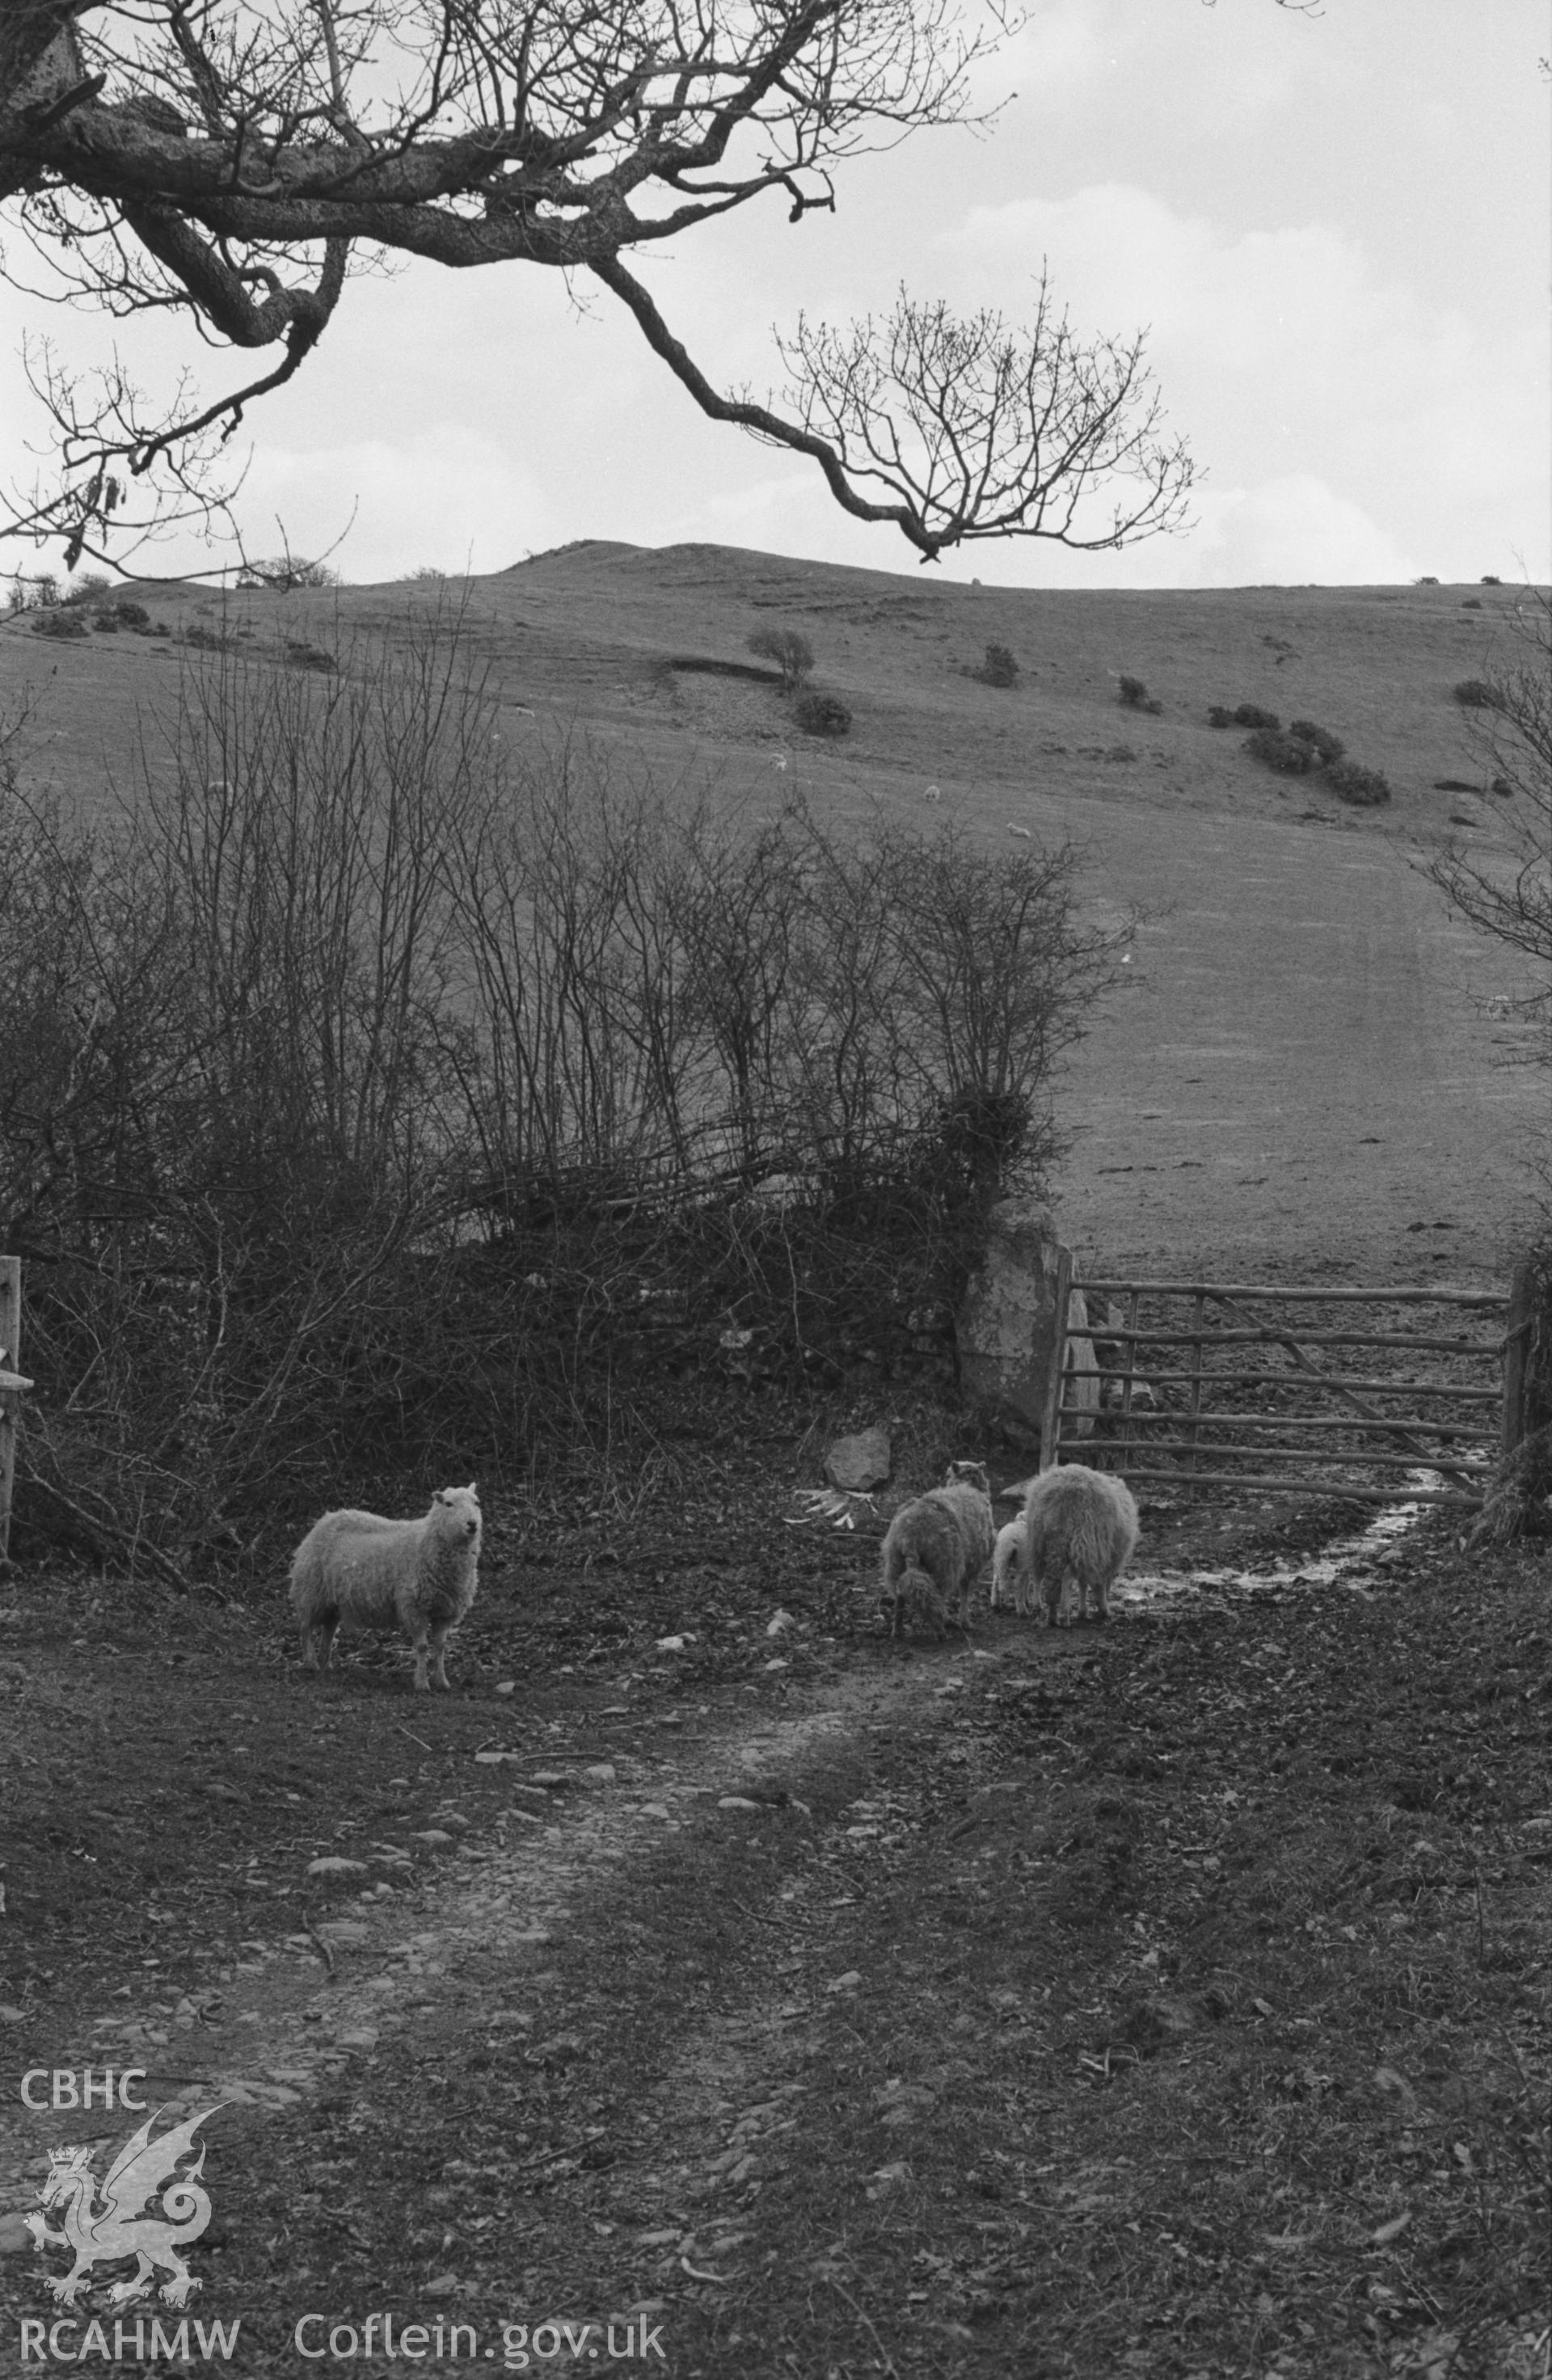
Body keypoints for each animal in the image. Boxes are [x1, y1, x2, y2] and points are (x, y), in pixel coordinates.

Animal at [288, 1485, 480, 1694]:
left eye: (476, 1502)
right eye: (448, 1504)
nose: (472, 1524)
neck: (425, 1541)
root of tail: (325, 1519)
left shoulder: (445, 1611)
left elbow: (440, 1647)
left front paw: (442, 1682)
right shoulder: (414, 1607)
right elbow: (422, 1647)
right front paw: (422, 1683)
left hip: (331, 1601)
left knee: (329, 1629)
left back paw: (325, 1663)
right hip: (312, 1592)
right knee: (305, 1627)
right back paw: (311, 1663)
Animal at [880, 1446, 999, 1637]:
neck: (966, 1485)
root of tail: (909, 1536)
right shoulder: (971, 1561)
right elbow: (964, 1590)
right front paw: (965, 1621)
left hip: (895, 1563)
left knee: (900, 1595)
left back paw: (897, 1630)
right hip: (942, 1563)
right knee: (934, 1595)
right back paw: (940, 1629)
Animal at [1018, 1456, 1137, 1627]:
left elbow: (1083, 1582)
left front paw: (1083, 1611)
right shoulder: (1103, 1554)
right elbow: (1097, 1582)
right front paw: (1102, 1609)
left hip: (1042, 1541)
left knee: (1043, 1575)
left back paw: (1049, 1613)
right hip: (1082, 1539)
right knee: (1067, 1575)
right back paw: (1063, 1615)